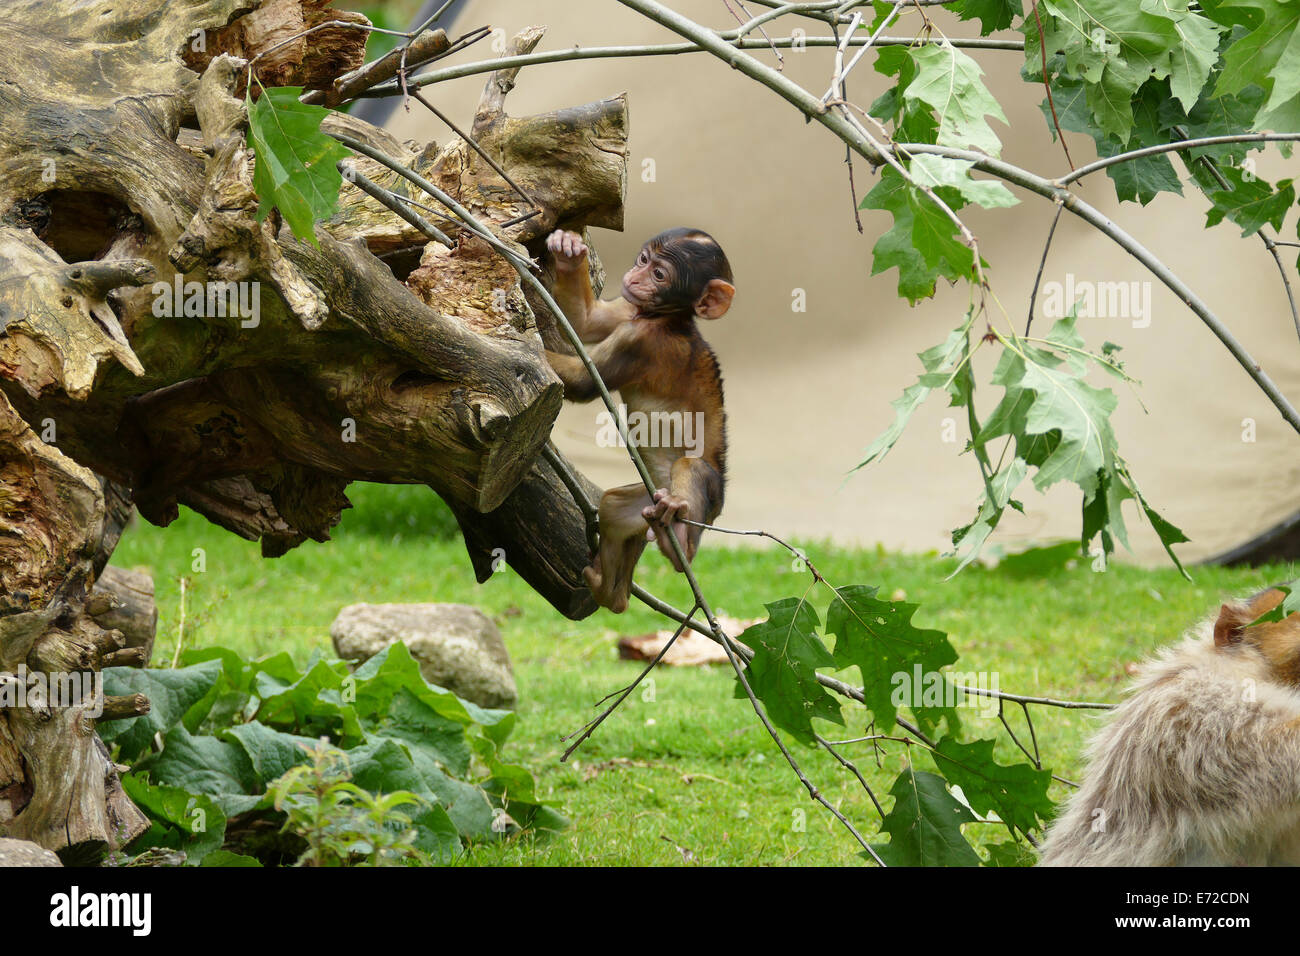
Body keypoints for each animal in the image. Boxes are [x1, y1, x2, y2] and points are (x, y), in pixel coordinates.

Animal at [542, 227, 734, 613]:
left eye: (659, 275)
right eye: (644, 260)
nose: (635, 277)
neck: (667, 318)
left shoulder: (641, 342)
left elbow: (584, 381)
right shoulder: (630, 310)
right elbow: (586, 321)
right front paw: (567, 250)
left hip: (703, 500)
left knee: (691, 468)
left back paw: (680, 545)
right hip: (647, 502)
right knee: (614, 507)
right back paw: (611, 593)